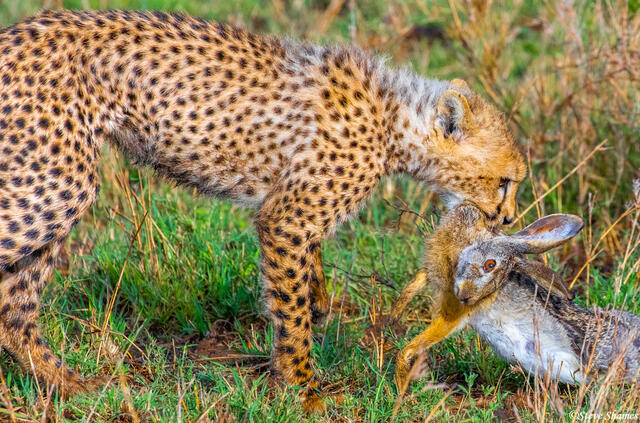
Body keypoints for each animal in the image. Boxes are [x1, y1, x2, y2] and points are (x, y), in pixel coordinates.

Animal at [0, 9, 526, 411]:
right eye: (504, 182)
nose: (507, 220)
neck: (396, 121)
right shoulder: (287, 220)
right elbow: (290, 313)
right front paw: (304, 390)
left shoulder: (292, 211)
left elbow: (307, 281)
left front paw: (318, 302)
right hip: (57, 186)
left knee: (14, 307)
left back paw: (69, 385)